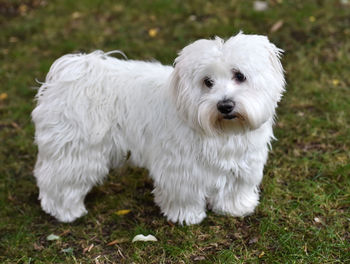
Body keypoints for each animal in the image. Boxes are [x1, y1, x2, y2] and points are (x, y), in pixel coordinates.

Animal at [32, 32, 284, 225]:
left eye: (239, 75)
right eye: (207, 82)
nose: (225, 105)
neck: (223, 132)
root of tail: (73, 73)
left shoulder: (244, 163)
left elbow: (235, 188)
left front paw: (235, 208)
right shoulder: (181, 168)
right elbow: (184, 193)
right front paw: (186, 216)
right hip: (77, 152)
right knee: (57, 179)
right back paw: (65, 211)